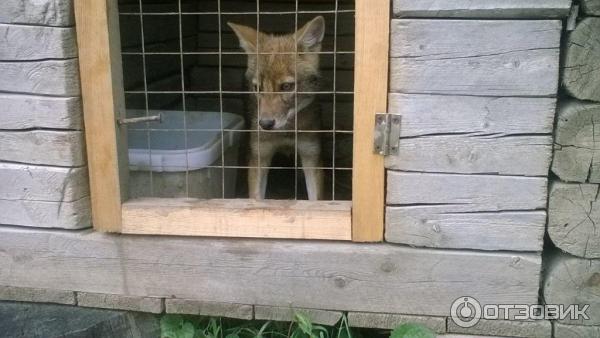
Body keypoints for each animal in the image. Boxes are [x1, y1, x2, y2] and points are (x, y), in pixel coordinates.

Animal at [227, 16, 326, 201]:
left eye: (286, 86)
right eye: (258, 88)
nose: (265, 124)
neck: (286, 132)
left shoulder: (311, 157)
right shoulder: (260, 157)